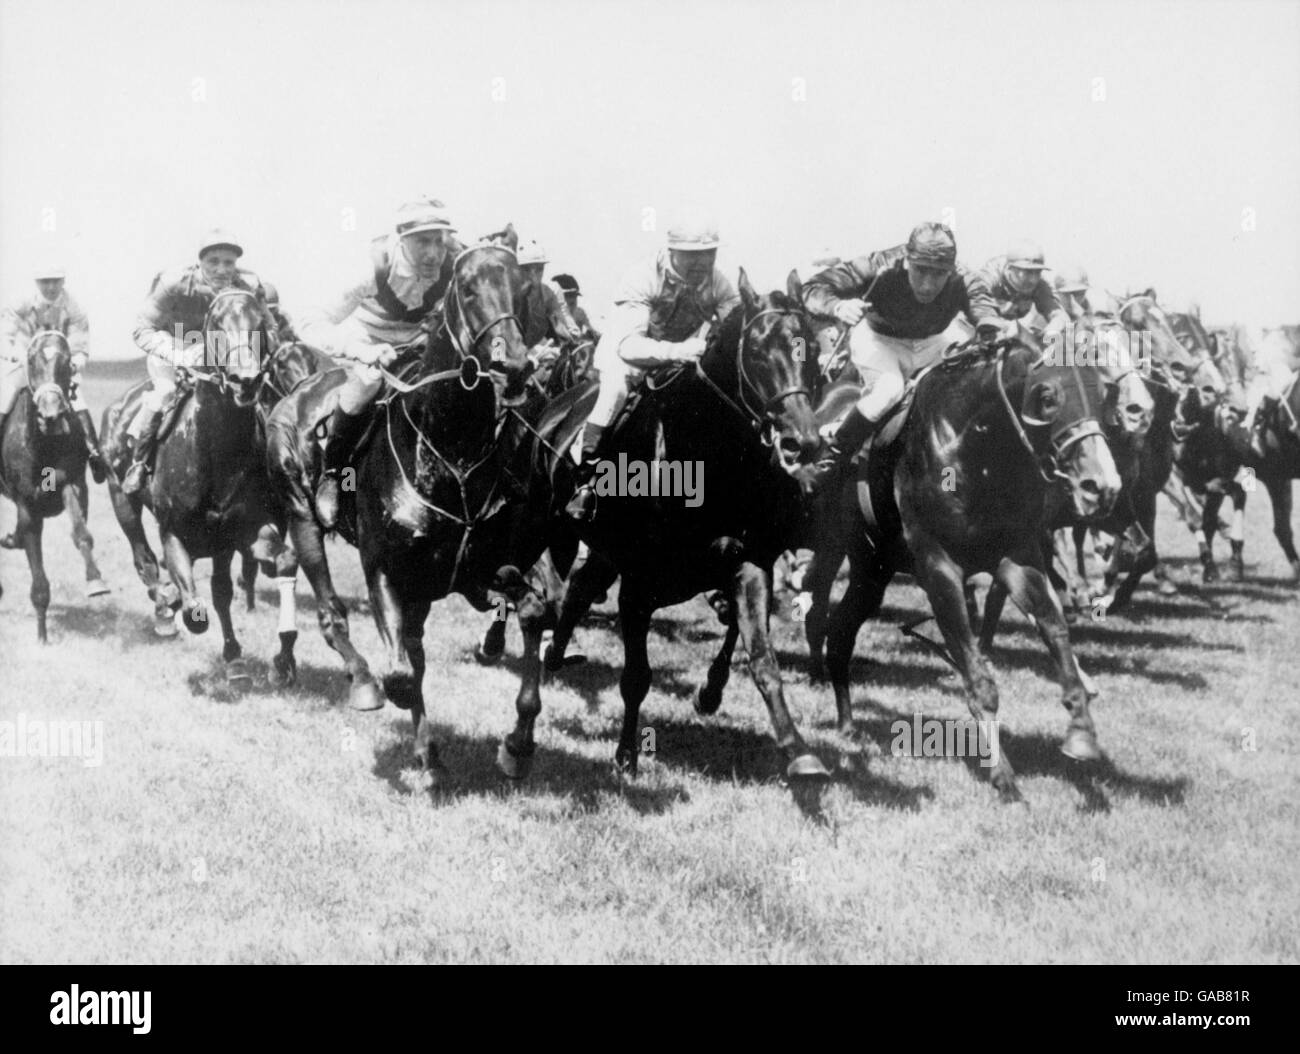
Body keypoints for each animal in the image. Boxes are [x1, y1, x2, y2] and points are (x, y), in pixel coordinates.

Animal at [0, 330, 108, 642]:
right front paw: (42, 636)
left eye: (66, 361)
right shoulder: (28, 506)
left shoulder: (74, 486)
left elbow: (81, 534)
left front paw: (95, 581)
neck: (44, 442)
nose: (50, 414)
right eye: (32, 360)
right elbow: (37, 571)